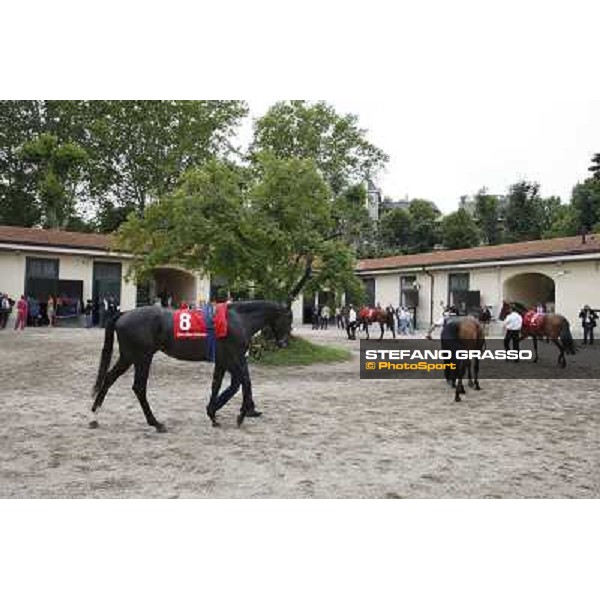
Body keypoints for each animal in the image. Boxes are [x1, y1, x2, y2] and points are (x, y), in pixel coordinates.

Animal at [89, 300, 292, 432]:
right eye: (288, 319)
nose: (284, 343)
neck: (238, 320)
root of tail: (124, 314)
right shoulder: (233, 358)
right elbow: (244, 382)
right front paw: (241, 413)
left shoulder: (224, 360)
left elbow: (220, 384)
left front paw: (213, 413)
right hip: (142, 357)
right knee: (138, 387)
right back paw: (156, 423)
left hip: (129, 357)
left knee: (109, 379)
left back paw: (94, 417)